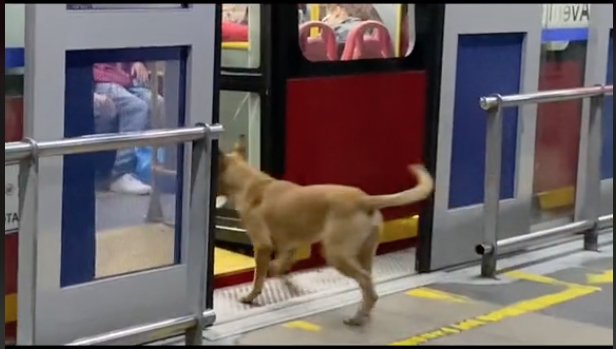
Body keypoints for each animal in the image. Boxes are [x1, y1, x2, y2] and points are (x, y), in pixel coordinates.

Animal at [217, 144, 434, 324]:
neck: (250, 182)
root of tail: (365, 200)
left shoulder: (262, 245)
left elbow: (258, 277)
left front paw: (251, 296)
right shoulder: (290, 243)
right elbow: (283, 261)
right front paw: (279, 272)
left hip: (336, 254)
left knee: (365, 282)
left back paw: (358, 317)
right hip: (365, 253)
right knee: (368, 283)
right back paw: (364, 311)